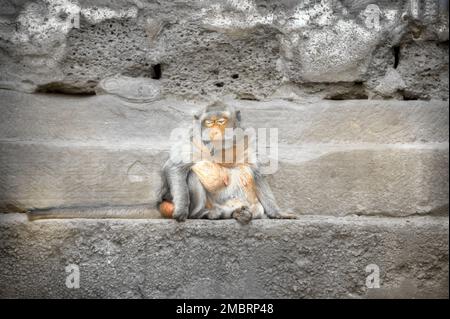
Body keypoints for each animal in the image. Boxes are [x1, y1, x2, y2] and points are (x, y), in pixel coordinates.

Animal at [156, 101, 298, 224]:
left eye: (221, 121)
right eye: (208, 122)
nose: (213, 132)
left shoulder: (246, 139)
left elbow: (256, 174)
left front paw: (277, 213)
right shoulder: (193, 139)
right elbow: (174, 167)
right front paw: (181, 209)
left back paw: (239, 213)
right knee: (192, 174)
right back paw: (203, 213)